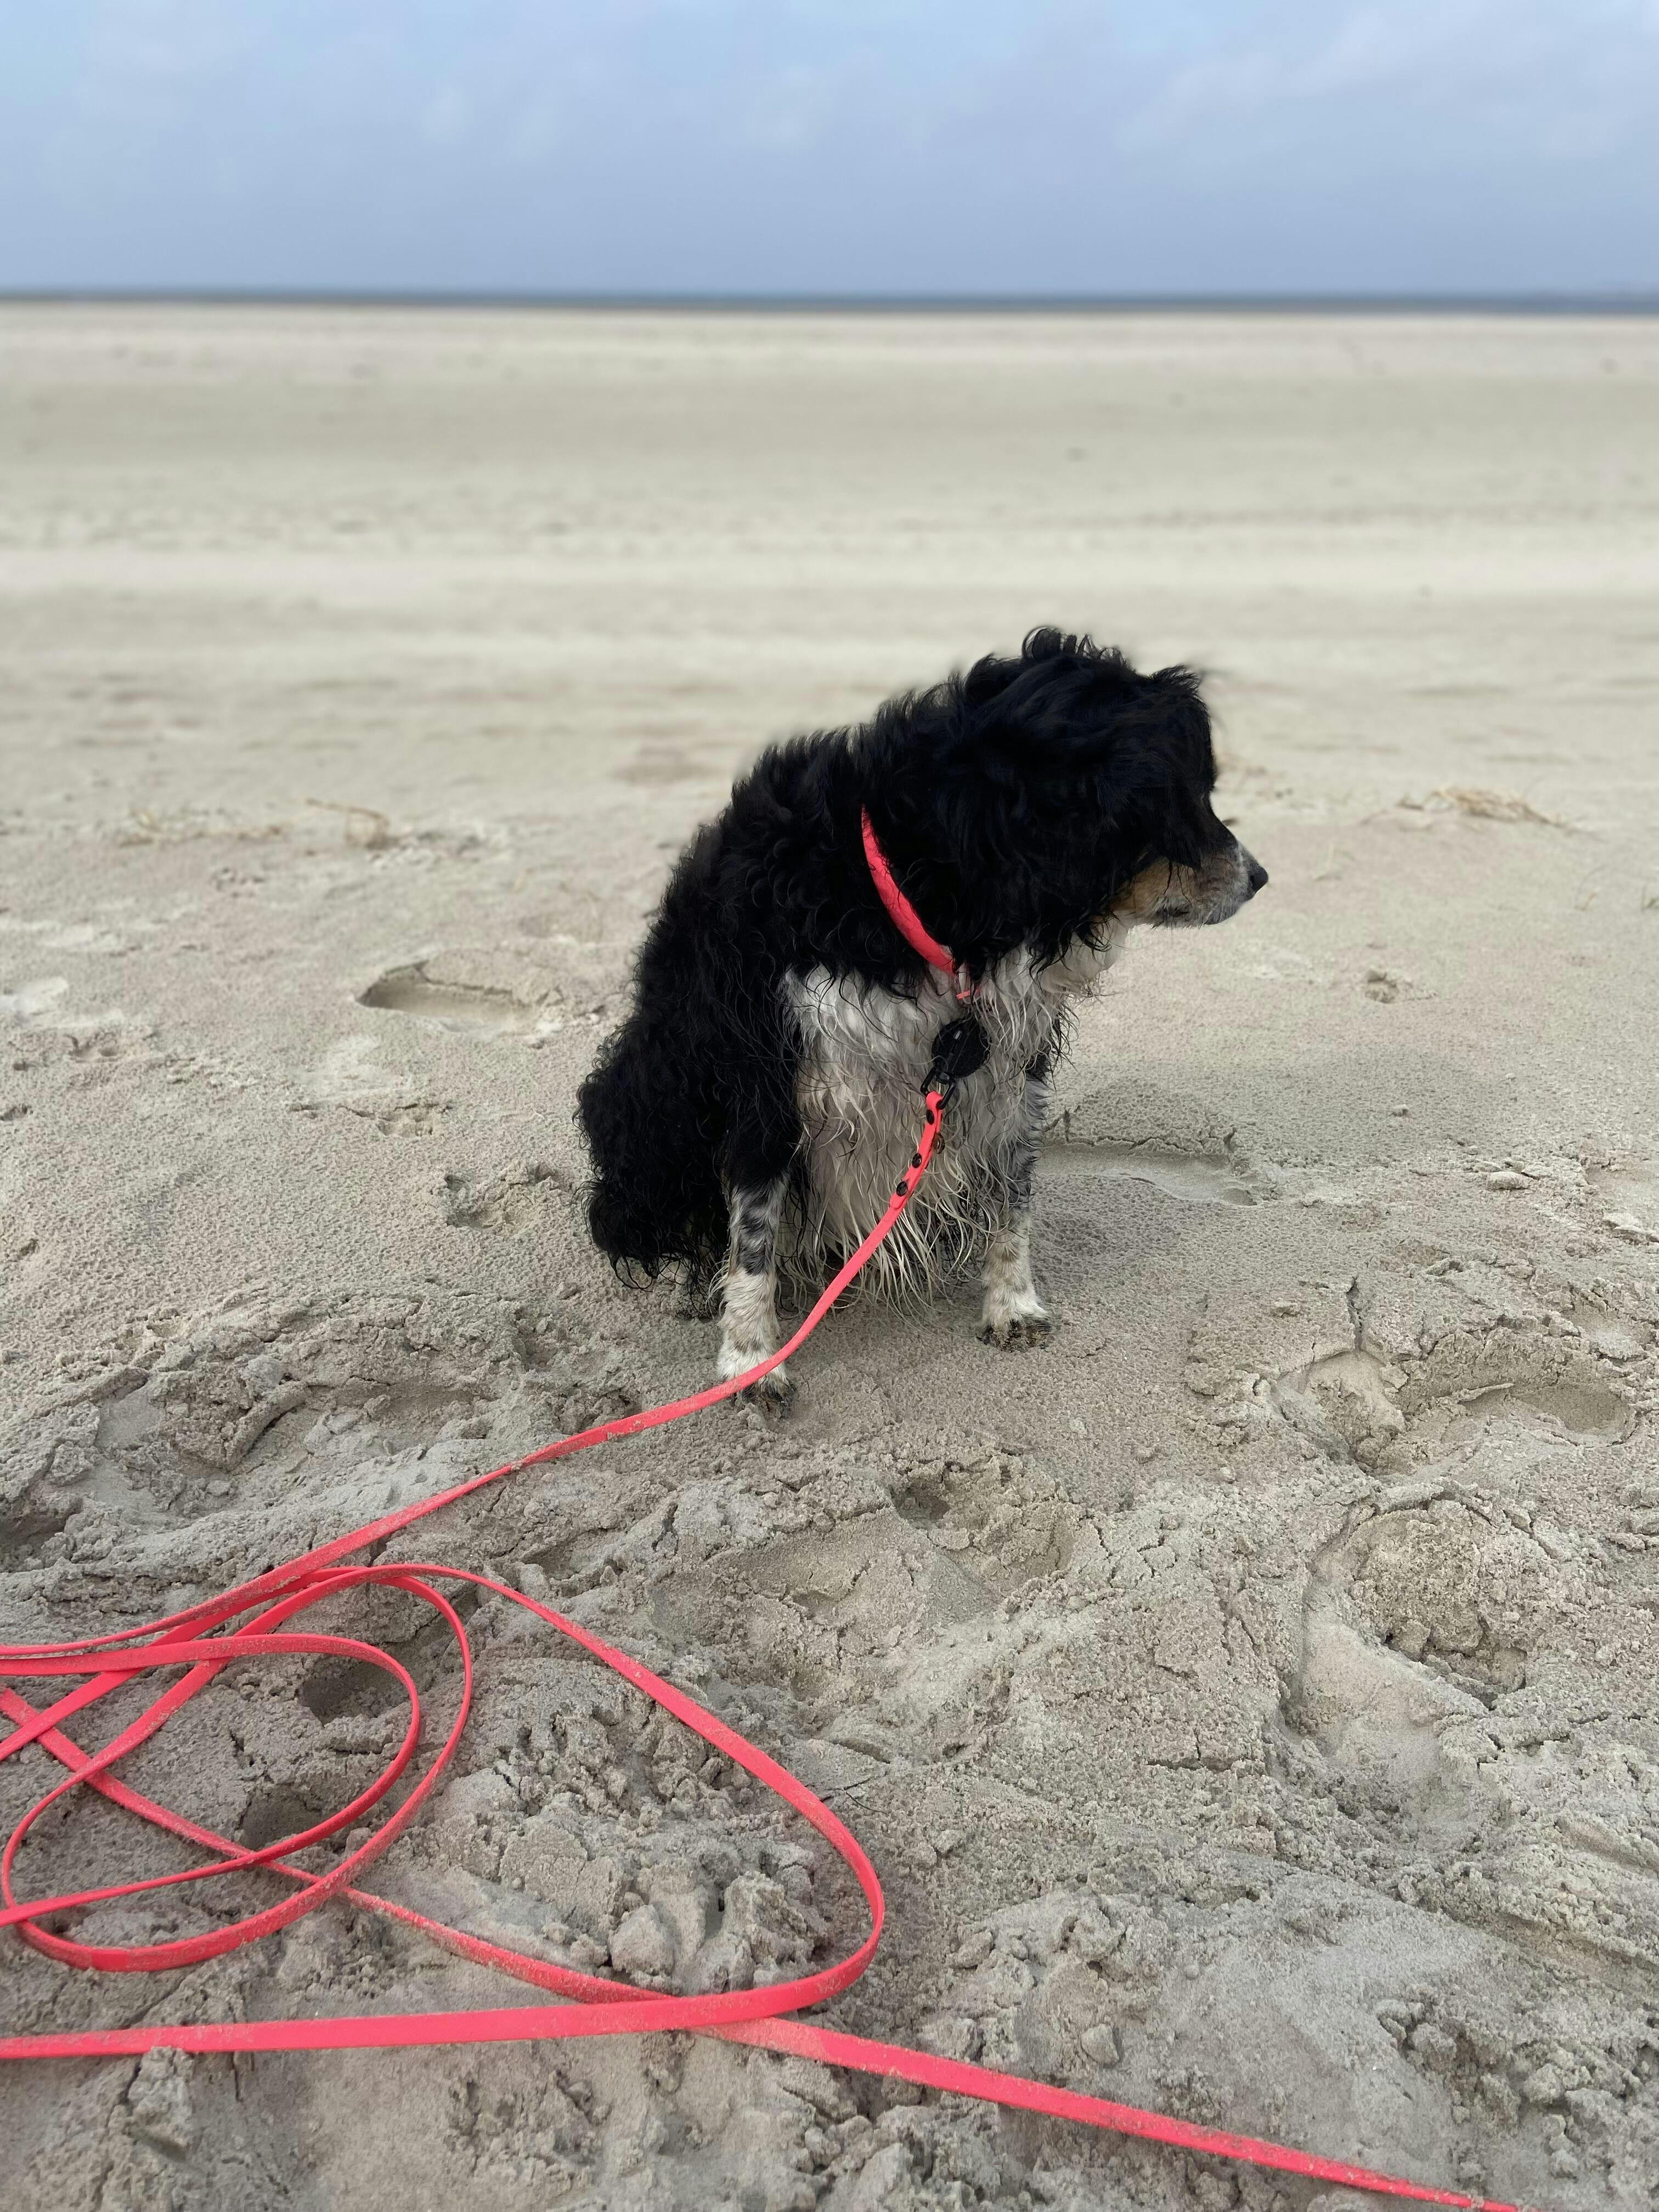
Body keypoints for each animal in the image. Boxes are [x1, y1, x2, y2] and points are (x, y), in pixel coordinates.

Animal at [577, 630, 1265, 1401]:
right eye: (1183, 800)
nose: (1260, 877)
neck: (931, 902)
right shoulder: (768, 1074)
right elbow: (753, 1235)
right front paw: (751, 1361)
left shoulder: (1005, 1066)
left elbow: (1014, 1199)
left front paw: (1013, 1305)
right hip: (644, 1108)